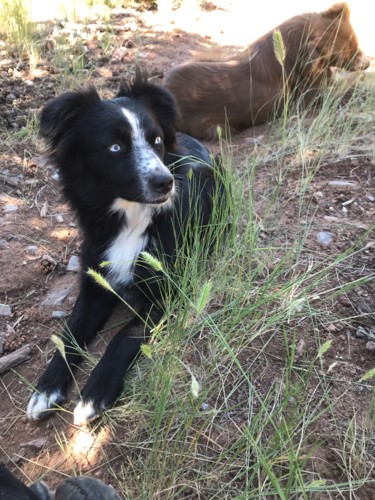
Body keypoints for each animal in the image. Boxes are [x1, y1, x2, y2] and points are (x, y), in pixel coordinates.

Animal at [27, 70, 226, 424]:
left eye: (156, 140)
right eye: (115, 147)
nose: (165, 182)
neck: (131, 221)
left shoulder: (166, 294)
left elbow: (123, 338)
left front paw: (95, 393)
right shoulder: (95, 281)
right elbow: (69, 334)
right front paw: (46, 389)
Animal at [165, 3, 370, 141]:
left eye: (356, 43)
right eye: (346, 56)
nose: (368, 64)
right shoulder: (310, 97)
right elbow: (345, 88)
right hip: (217, 129)